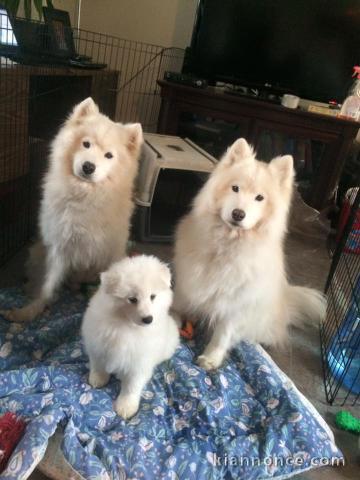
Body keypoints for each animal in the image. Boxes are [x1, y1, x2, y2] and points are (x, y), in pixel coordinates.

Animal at [80, 255, 179, 420]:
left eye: (152, 296)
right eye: (132, 299)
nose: (148, 319)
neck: (126, 325)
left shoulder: (139, 361)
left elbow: (132, 386)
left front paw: (126, 406)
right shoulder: (98, 343)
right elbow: (98, 364)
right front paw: (98, 378)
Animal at [173, 137, 328, 370]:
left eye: (259, 198)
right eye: (235, 188)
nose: (238, 214)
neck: (228, 244)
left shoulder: (237, 303)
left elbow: (222, 334)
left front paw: (211, 358)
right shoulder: (188, 283)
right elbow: (176, 306)